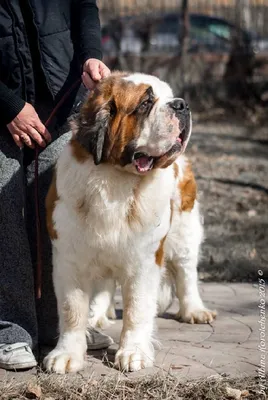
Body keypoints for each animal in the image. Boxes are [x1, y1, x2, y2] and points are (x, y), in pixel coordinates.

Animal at [43, 72, 216, 376]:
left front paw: (134, 352)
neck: (115, 180)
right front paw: (66, 354)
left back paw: (194, 310)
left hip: (184, 231)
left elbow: (137, 308)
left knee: (186, 272)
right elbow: (71, 309)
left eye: (168, 95)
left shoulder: (145, 259)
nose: (181, 104)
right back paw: (98, 315)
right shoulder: (69, 258)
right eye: (146, 103)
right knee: (104, 285)